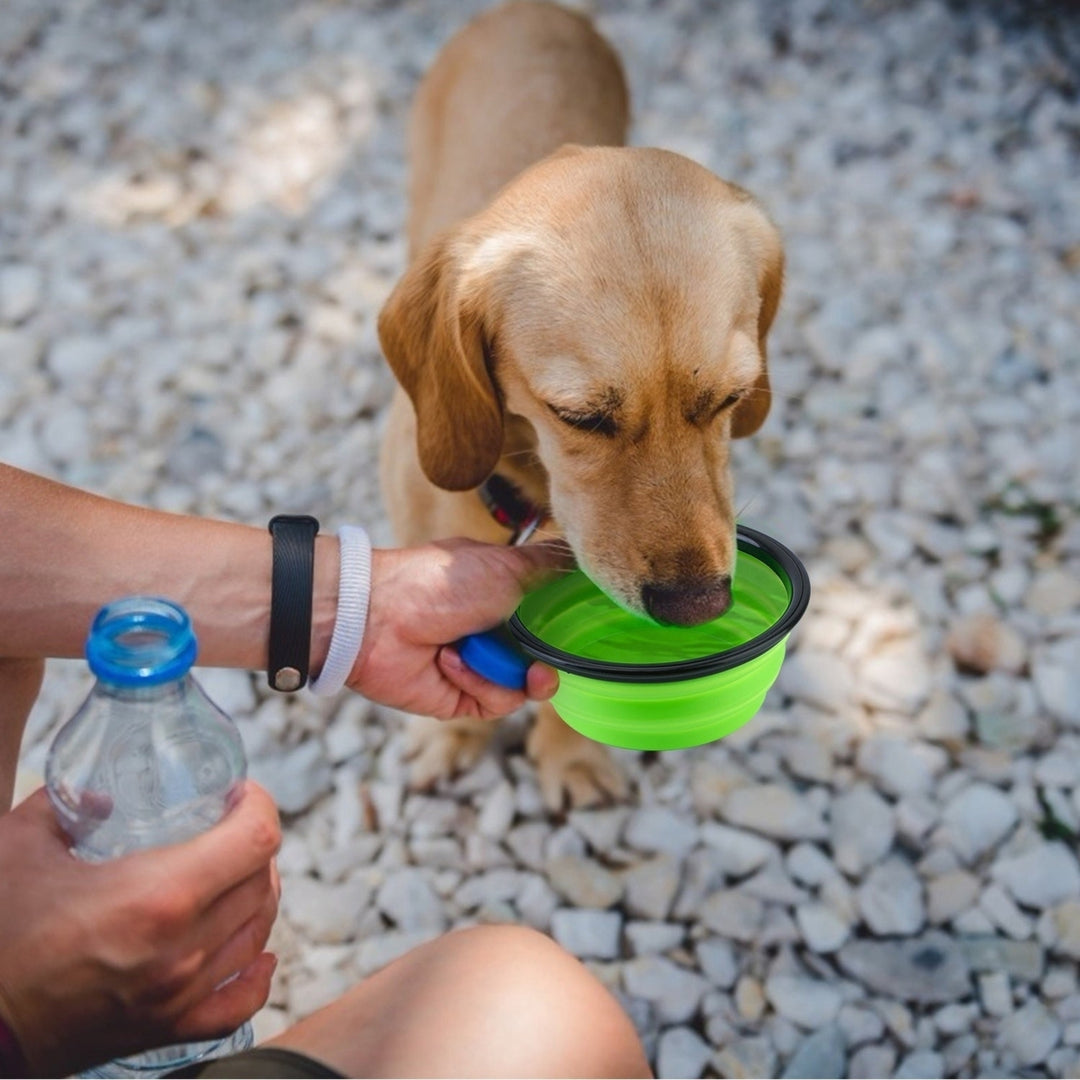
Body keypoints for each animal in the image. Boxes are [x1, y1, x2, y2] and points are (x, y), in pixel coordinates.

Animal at [375, 0, 781, 812]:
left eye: (730, 397)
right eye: (581, 416)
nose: (699, 607)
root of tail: (529, 10)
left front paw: (571, 755)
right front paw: (453, 737)